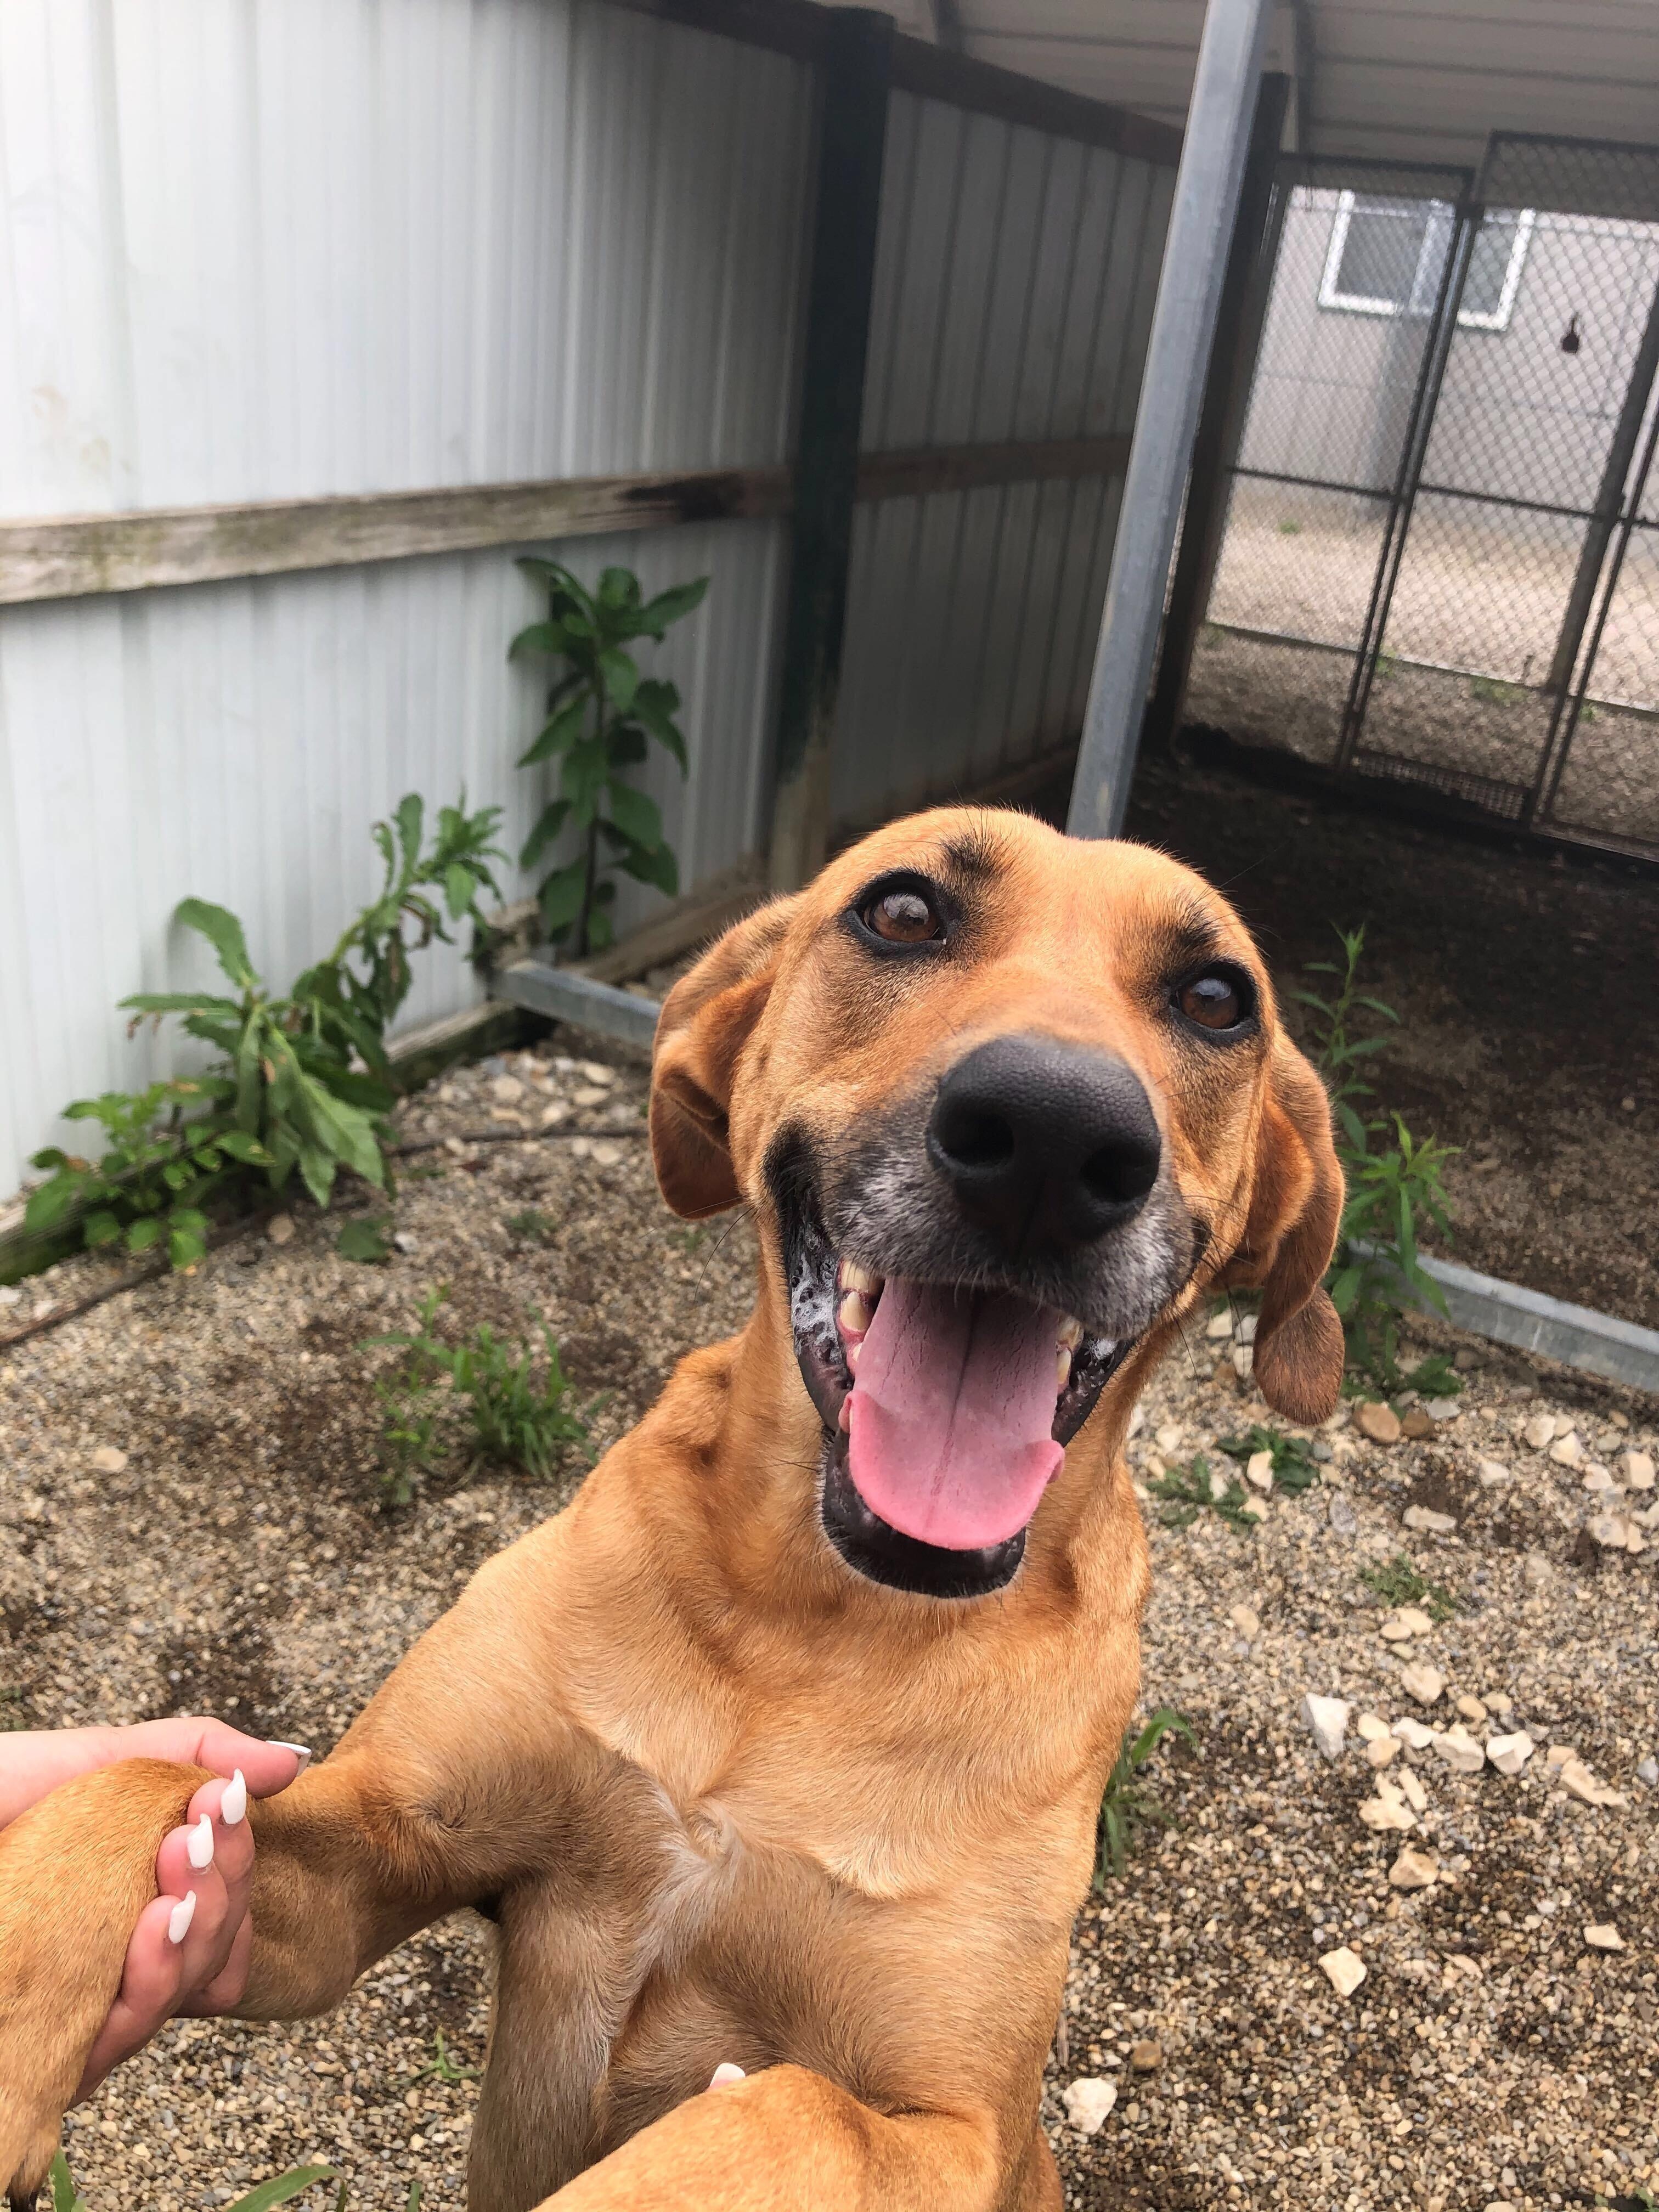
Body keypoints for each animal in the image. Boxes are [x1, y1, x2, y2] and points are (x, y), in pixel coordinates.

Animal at [0, 814, 1345, 2212]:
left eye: (1215, 999)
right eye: (903, 912)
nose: (1053, 1137)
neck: (812, 1627)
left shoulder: (957, 2131)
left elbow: (783, 2114)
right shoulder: (366, 1857)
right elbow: (138, 1779)